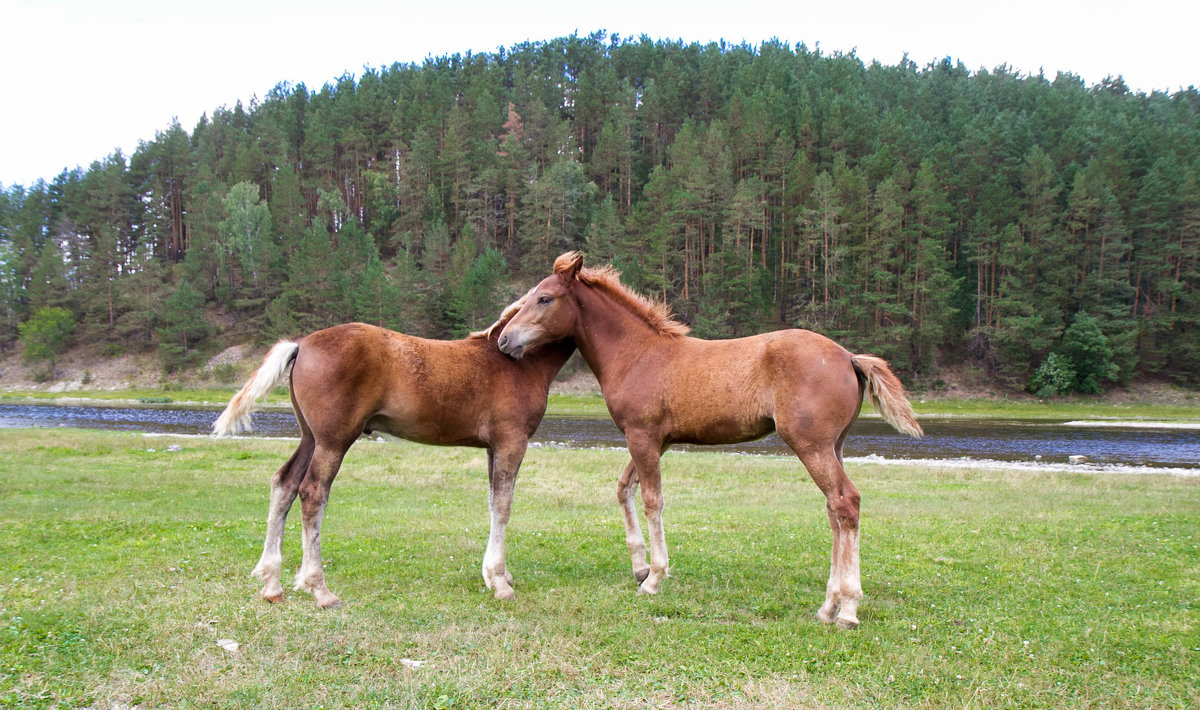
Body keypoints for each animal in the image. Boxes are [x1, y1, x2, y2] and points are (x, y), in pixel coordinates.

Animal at [213, 302, 573, 606]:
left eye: (545, 299)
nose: (509, 343)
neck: (520, 365)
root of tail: (302, 344)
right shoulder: (511, 443)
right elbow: (503, 505)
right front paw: (499, 582)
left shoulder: (492, 449)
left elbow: (493, 502)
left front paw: (499, 574)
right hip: (332, 442)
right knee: (312, 493)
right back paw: (320, 589)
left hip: (310, 438)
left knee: (284, 483)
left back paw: (272, 584)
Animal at [494, 251, 916, 628]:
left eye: (545, 298)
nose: (504, 341)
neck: (637, 354)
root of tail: (848, 357)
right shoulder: (655, 440)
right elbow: (624, 488)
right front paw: (639, 567)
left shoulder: (643, 436)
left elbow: (652, 500)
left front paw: (654, 578)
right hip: (834, 446)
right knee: (834, 511)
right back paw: (828, 607)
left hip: (810, 445)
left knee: (846, 503)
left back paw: (848, 610)